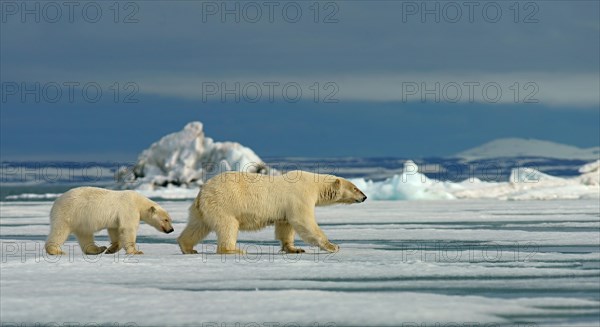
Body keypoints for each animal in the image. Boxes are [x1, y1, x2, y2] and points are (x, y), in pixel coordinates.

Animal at [176, 172, 368, 256]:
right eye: (355, 188)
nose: (365, 197)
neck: (315, 185)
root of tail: (202, 191)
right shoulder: (300, 196)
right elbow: (304, 221)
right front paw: (333, 246)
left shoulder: (286, 208)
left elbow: (286, 226)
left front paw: (294, 248)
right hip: (224, 204)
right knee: (228, 226)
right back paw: (233, 250)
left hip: (203, 210)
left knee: (197, 226)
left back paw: (188, 247)